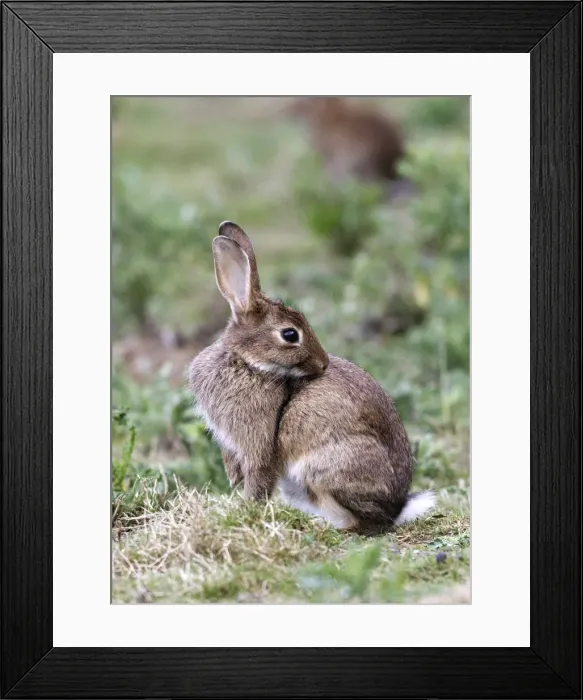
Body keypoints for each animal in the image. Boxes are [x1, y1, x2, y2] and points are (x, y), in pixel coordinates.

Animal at [188, 221, 435, 533]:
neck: (247, 362)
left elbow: (259, 477)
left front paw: (247, 510)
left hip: (325, 468)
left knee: (364, 523)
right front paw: (233, 480)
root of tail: (397, 509)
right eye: (290, 334)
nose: (323, 363)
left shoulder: (258, 442)